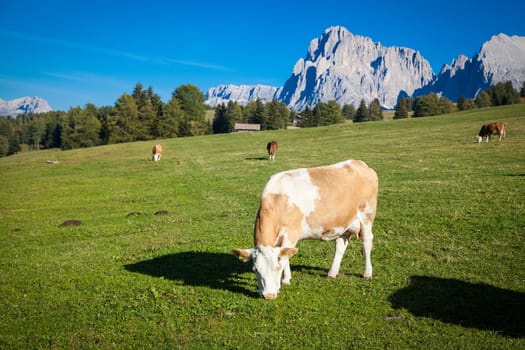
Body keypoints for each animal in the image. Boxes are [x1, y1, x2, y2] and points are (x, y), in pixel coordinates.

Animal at [232, 160, 376, 300]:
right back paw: (332, 272)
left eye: (277, 268)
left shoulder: (291, 233)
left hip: (367, 216)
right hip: (343, 223)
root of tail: (360, 164)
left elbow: (285, 257)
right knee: (341, 246)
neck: (278, 199)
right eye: (255, 269)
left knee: (367, 243)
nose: (268, 296)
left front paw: (285, 280)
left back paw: (367, 272)